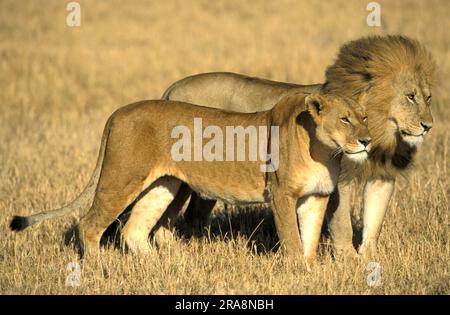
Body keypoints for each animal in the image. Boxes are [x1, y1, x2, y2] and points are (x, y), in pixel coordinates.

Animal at [10, 93, 370, 262]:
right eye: (345, 119)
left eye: (364, 118)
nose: (367, 140)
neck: (325, 152)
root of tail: (117, 112)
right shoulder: (281, 193)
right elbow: (293, 240)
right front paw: (296, 269)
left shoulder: (316, 197)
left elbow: (309, 237)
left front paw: (309, 270)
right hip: (122, 177)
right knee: (89, 224)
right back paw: (101, 268)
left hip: (163, 185)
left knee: (134, 229)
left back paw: (157, 266)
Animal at [159, 34, 436, 258]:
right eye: (410, 96)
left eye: (428, 98)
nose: (428, 126)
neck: (383, 136)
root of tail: (173, 88)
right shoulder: (338, 181)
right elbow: (342, 224)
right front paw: (348, 260)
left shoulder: (382, 177)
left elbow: (374, 222)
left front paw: (370, 260)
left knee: (194, 214)